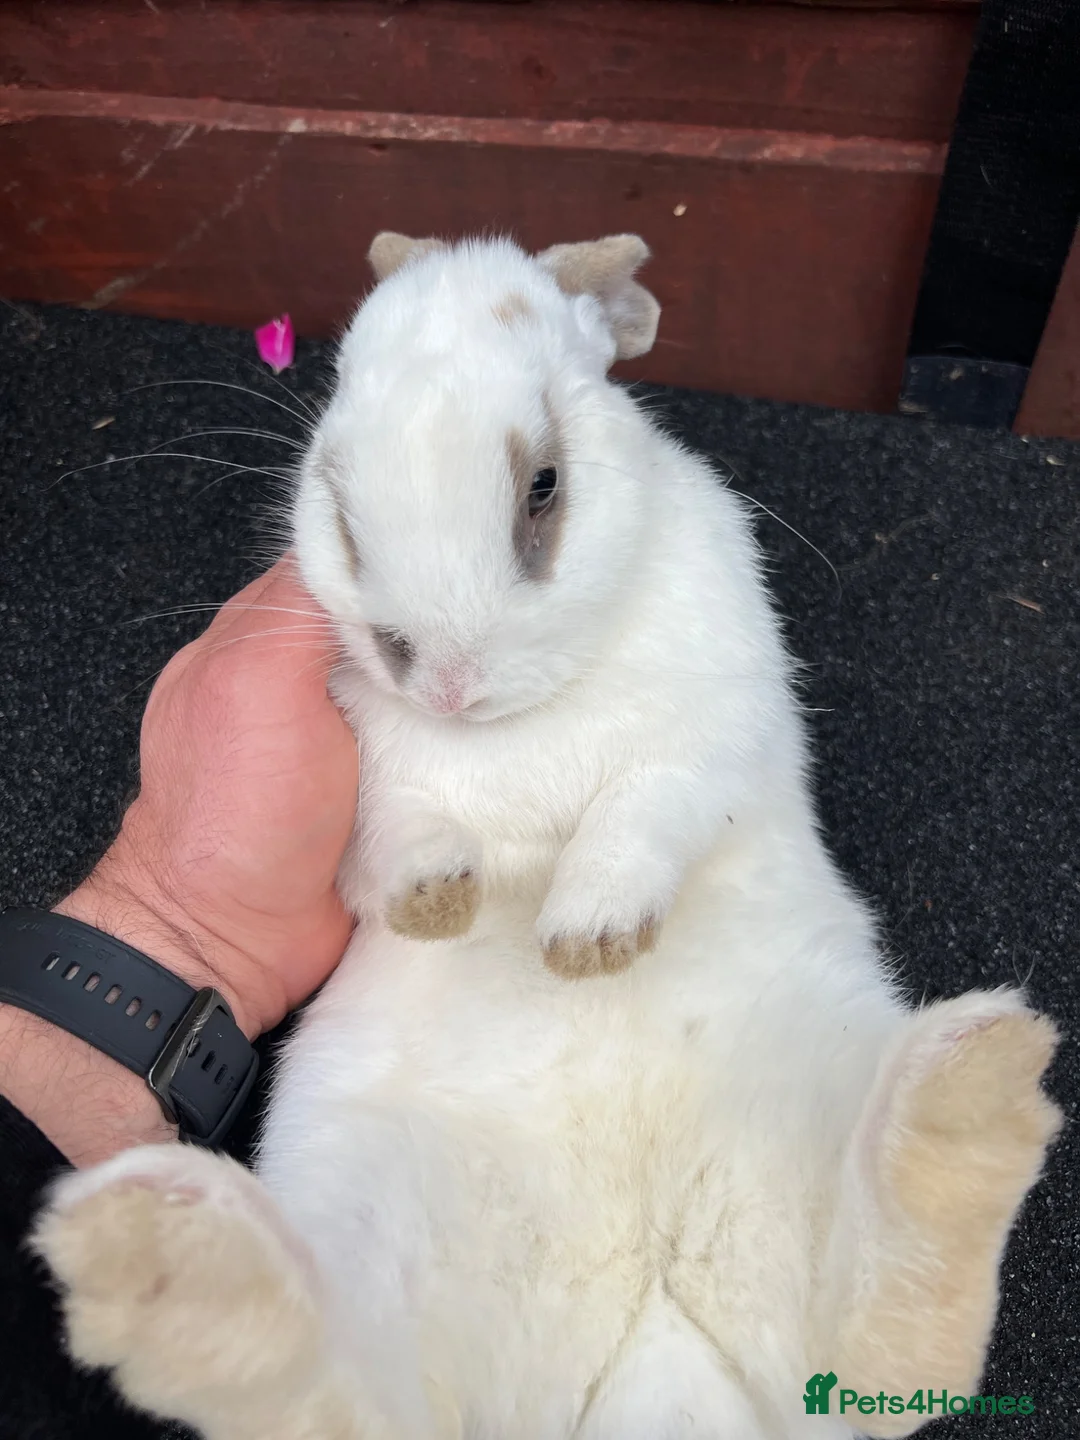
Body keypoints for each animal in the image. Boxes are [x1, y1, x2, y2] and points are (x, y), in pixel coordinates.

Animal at [33, 233, 1061, 1440]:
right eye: (336, 502)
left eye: (544, 485)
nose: (440, 676)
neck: (520, 716)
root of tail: (651, 1347)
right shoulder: (366, 776)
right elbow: (394, 842)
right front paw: (442, 900)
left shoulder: (704, 743)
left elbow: (639, 820)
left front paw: (590, 941)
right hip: (385, 1220)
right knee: (343, 1390)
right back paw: (154, 1252)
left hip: (806, 1113)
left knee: (880, 1336)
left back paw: (971, 1088)